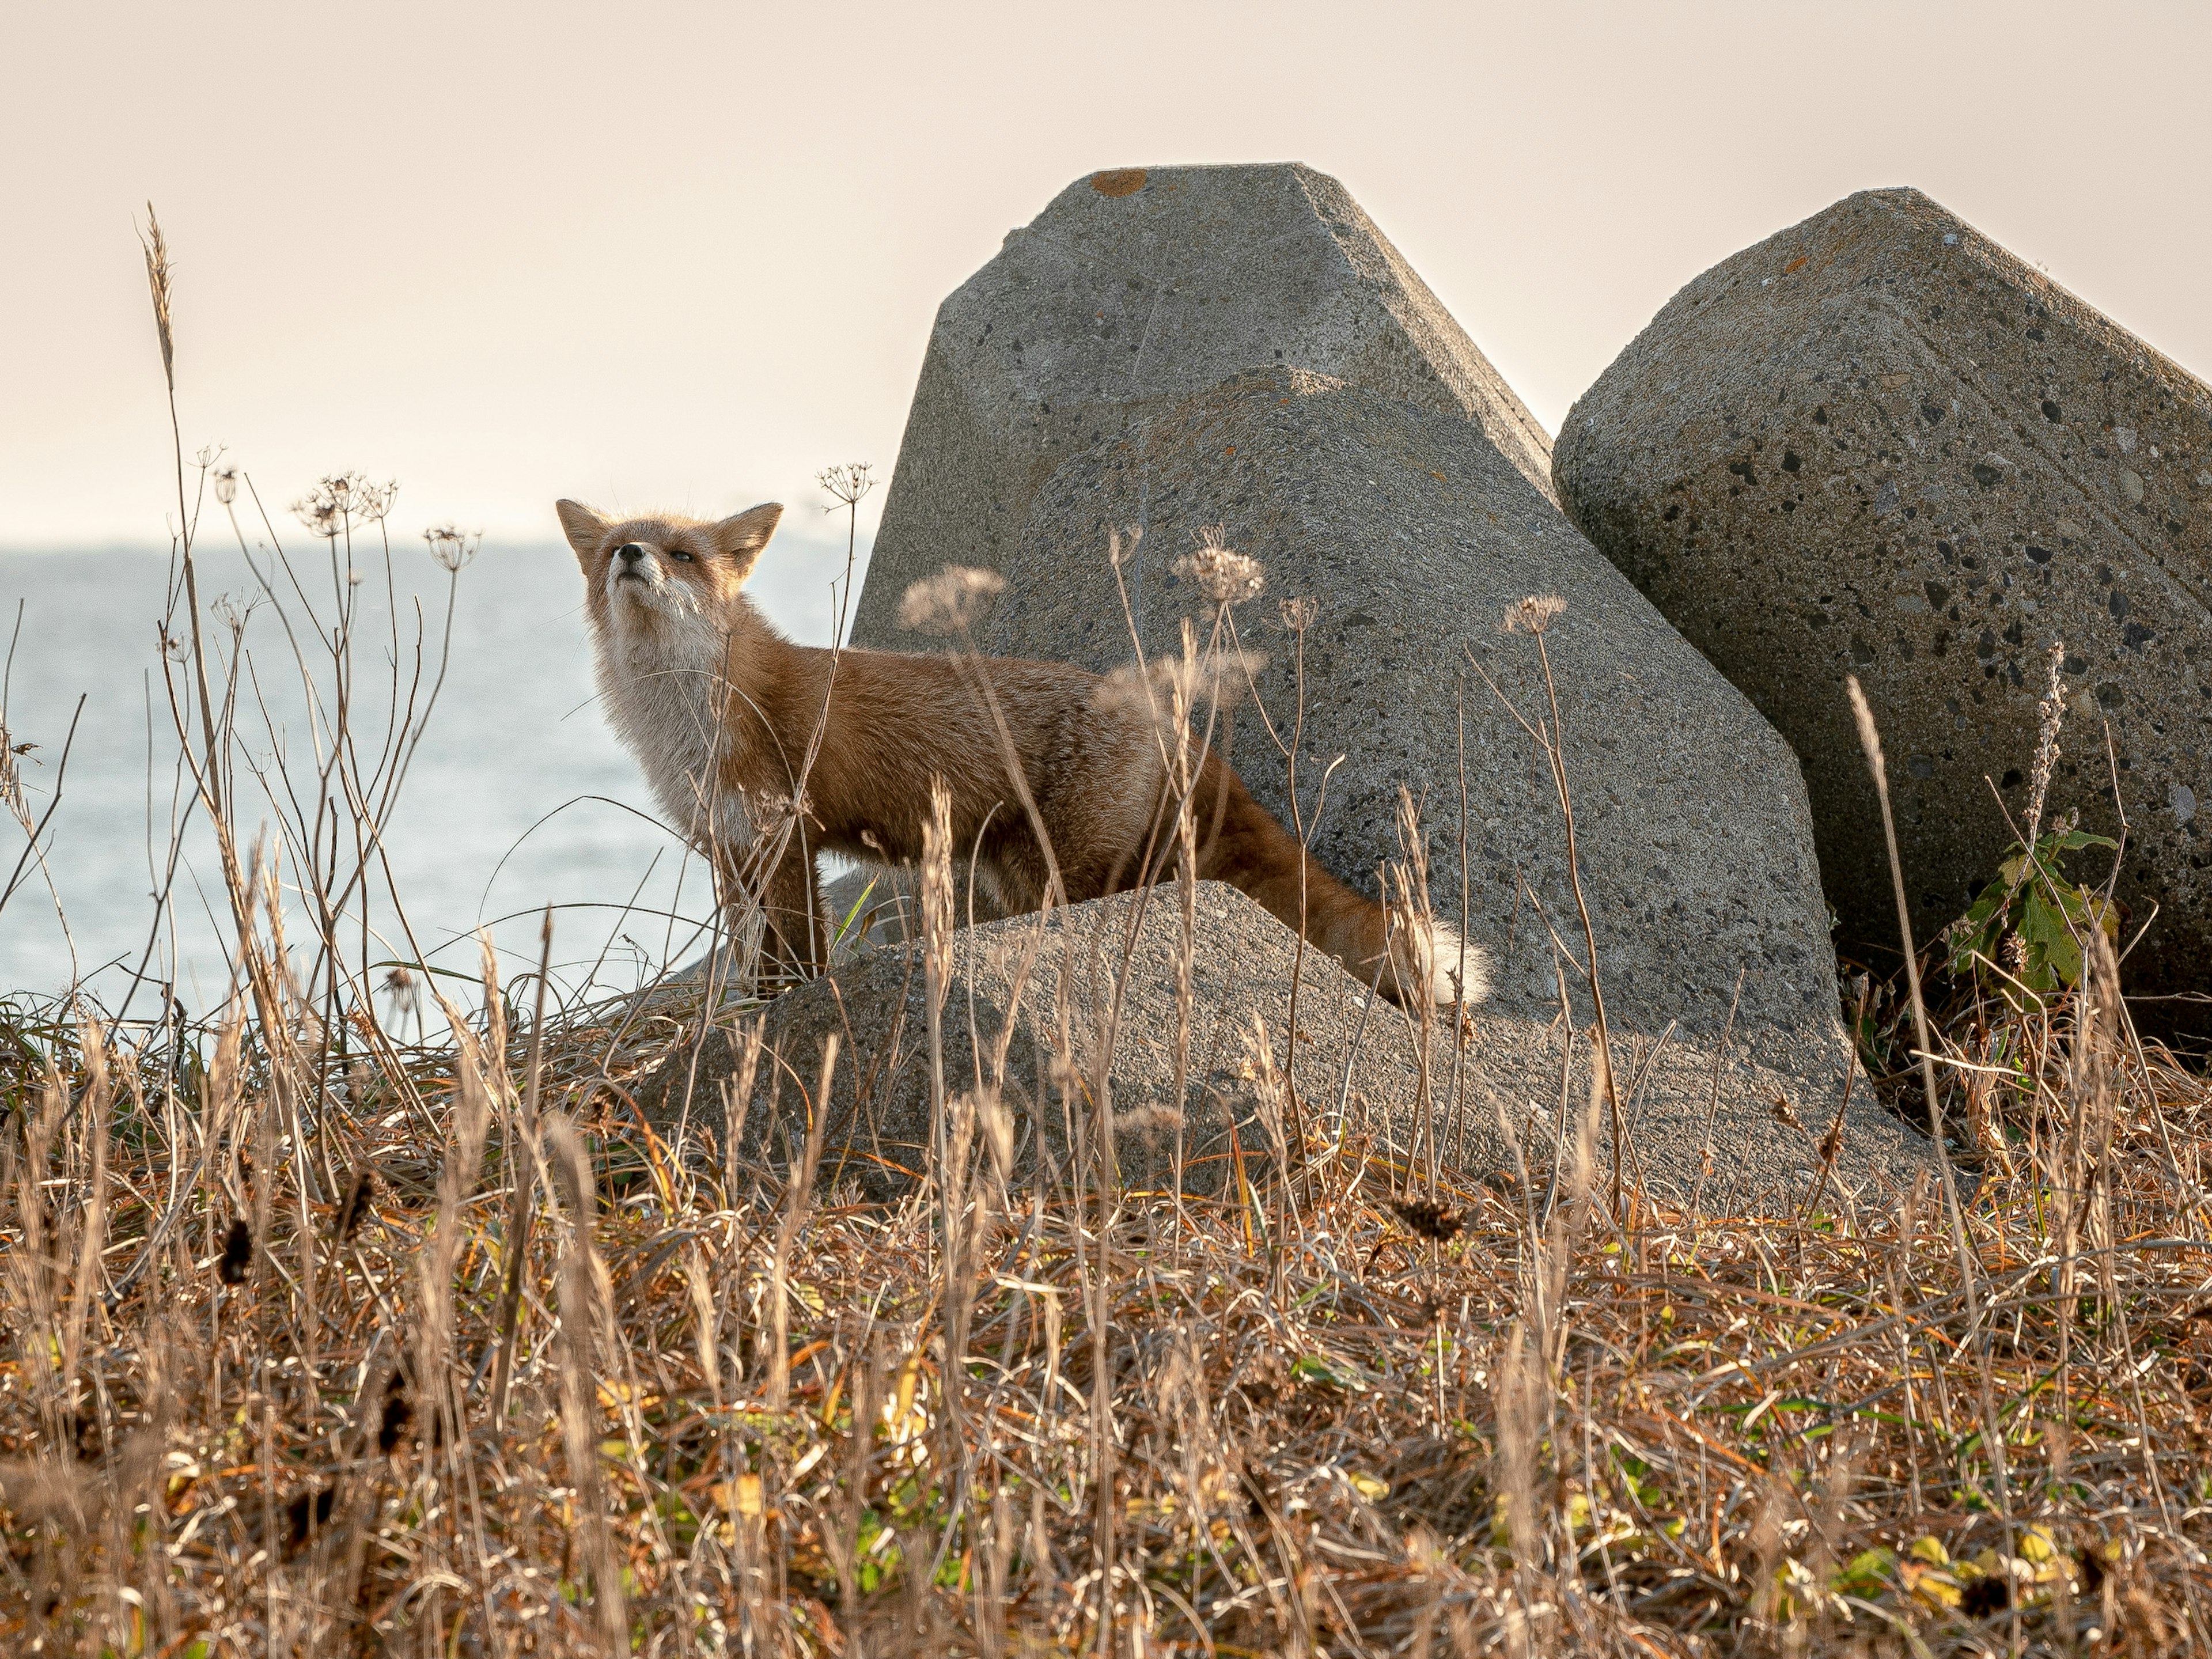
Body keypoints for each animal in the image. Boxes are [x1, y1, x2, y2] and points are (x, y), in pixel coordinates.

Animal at [553, 498, 1486, 1013]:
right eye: (617, 548)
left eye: (683, 555)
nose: (631, 556)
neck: (689, 716)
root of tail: (1166, 715)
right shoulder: (729, 845)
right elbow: (758, 955)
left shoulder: (783, 834)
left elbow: (797, 956)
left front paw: (779, 1014)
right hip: (1018, 872)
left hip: (1063, 875)